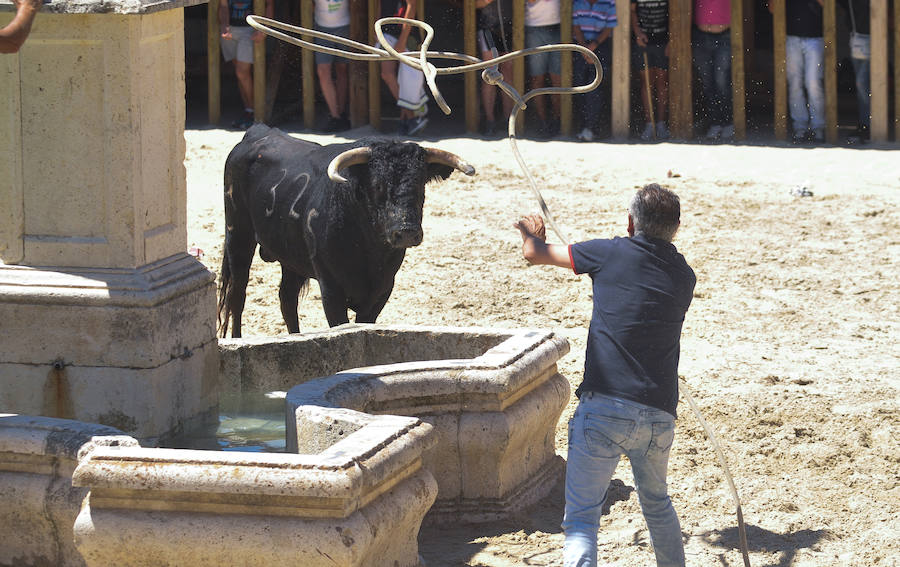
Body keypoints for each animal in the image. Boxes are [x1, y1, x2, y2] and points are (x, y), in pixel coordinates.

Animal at [215, 124, 474, 338]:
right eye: (377, 185)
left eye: (421, 185)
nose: (407, 231)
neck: (369, 249)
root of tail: (257, 132)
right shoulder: (331, 290)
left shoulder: (382, 290)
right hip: (238, 235)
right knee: (237, 294)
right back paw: (236, 338)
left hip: (290, 257)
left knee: (286, 299)